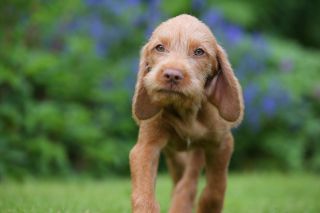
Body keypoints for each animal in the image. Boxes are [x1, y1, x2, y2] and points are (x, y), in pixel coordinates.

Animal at [129, 14, 244, 212]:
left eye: (199, 52)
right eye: (160, 48)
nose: (172, 75)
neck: (186, 111)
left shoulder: (222, 144)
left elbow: (216, 188)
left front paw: (208, 207)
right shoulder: (145, 147)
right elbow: (144, 194)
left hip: (197, 151)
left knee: (190, 180)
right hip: (175, 157)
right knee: (181, 181)